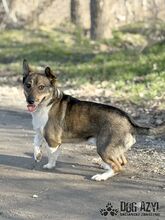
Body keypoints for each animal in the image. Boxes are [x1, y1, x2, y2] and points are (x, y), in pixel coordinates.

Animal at [22, 59, 165, 180]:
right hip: (110, 148)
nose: (30, 101)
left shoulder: (53, 141)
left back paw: (101, 176)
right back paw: (105, 167)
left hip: (103, 148)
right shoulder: (40, 132)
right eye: (28, 85)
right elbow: (35, 143)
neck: (47, 104)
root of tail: (130, 123)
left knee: (118, 166)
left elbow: (52, 154)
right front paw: (37, 155)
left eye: (41, 87)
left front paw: (50, 165)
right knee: (122, 161)